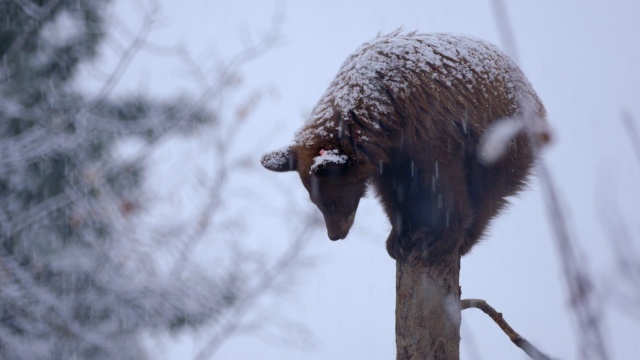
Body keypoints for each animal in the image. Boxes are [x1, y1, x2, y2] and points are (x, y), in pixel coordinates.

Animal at [262, 31, 548, 260]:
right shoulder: (388, 156)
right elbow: (393, 193)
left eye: (333, 200)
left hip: (503, 144)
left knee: (488, 191)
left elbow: (445, 183)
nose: (335, 234)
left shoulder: (431, 132)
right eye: (315, 201)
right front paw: (398, 237)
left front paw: (440, 239)